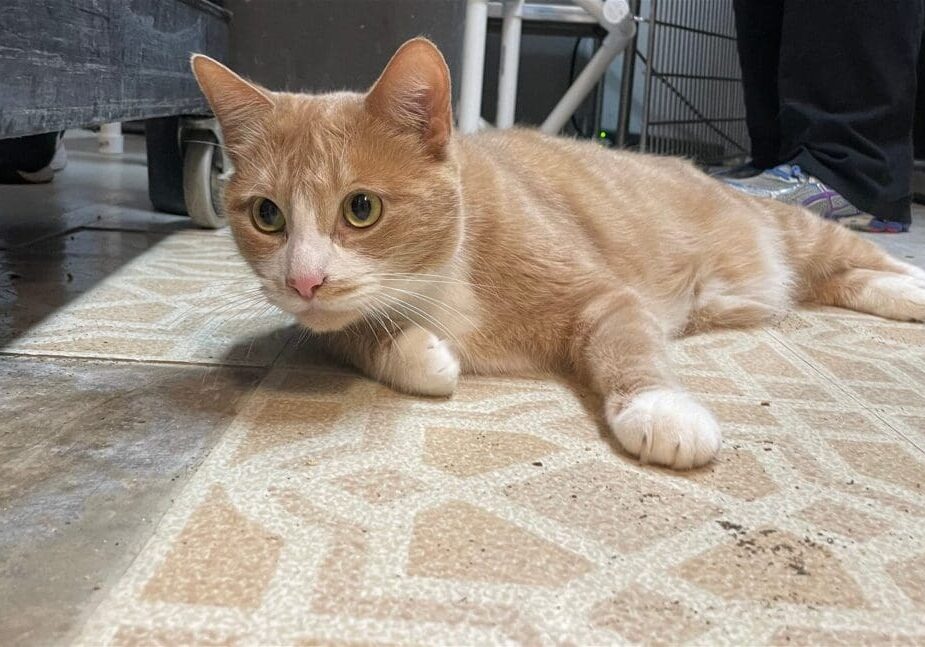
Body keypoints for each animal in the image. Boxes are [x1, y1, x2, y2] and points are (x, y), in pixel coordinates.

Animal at [191, 38, 924, 470]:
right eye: (267, 215)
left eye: (361, 208)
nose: (304, 280)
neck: (442, 278)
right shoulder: (319, 321)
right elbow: (345, 336)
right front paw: (420, 351)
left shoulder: (604, 295)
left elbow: (628, 346)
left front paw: (660, 409)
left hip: (793, 229)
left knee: (857, 258)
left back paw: (912, 285)